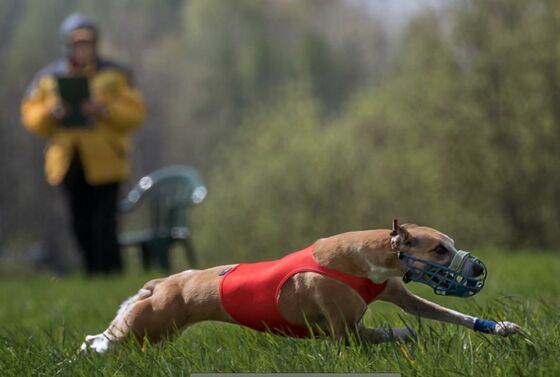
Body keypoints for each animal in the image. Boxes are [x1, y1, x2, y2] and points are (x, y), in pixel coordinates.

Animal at [81, 219, 524, 352]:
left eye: (451, 244)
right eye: (439, 250)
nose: (477, 267)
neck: (364, 257)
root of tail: (163, 282)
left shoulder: (399, 294)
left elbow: (451, 314)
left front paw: (503, 328)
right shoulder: (344, 332)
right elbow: (385, 332)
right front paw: (403, 334)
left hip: (152, 328)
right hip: (149, 324)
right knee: (99, 338)